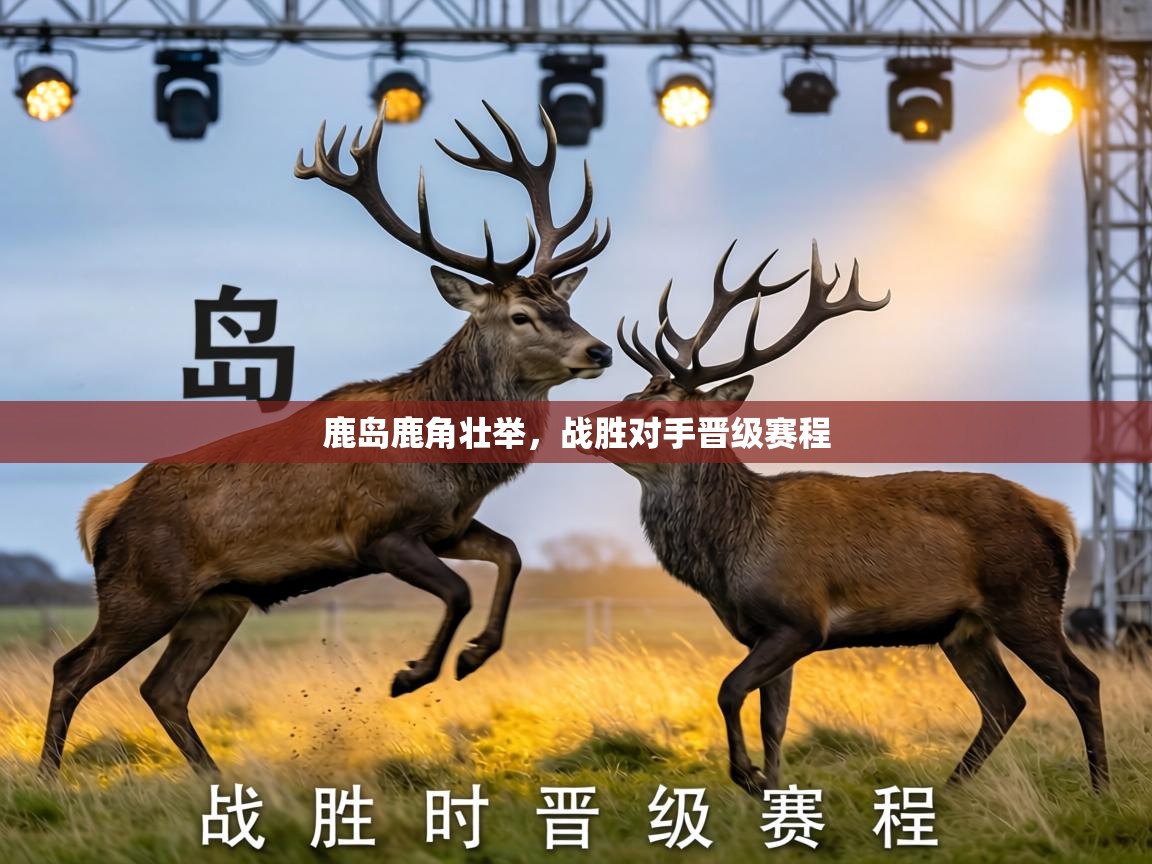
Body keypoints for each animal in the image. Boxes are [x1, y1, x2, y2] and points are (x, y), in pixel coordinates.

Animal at [39, 102, 613, 777]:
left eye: (564, 307)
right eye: (521, 316)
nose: (598, 349)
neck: (450, 463)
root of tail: (98, 513)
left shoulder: (447, 527)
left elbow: (511, 555)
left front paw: (473, 656)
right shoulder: (378, 532)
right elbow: (459, 590)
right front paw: (412, 674)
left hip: (218, 602)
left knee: (165, 688)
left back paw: (213, 779)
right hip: (142, 589)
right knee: (71, 669)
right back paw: (48, 778)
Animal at [604, 239, 1108, 795]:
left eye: (658, 413)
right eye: (629, 396)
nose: (589, 423)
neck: (729, 558)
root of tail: (1060, 519)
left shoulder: (801, 620)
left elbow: (729, 690)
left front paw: (748, 777)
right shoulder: (764, 632)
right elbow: (774, 722)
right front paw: (773, 794)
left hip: (1026, 601)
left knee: (1082, 683)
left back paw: (1100, 789)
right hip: (965, 628)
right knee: (1004, 701)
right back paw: (950, 791)